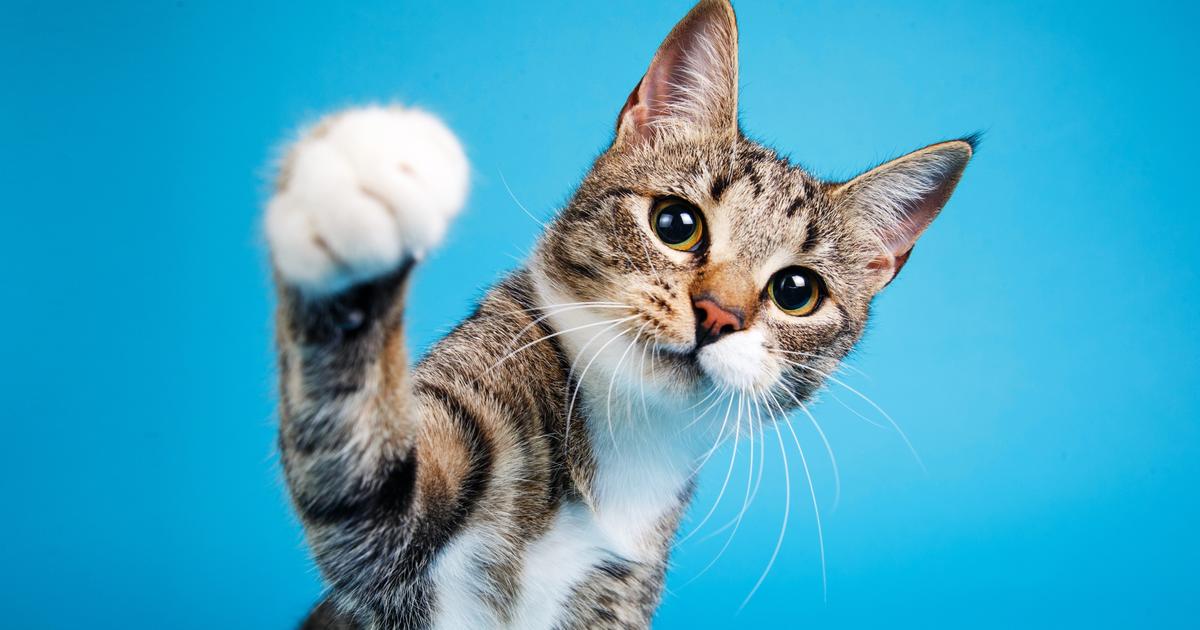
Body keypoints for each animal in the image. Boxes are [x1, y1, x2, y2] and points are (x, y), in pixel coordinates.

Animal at [265, 0, 974, 624]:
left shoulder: (619, 585)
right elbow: (367, 478)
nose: (717, 314)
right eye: (677, 224)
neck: (624, 439)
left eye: (797, 291)